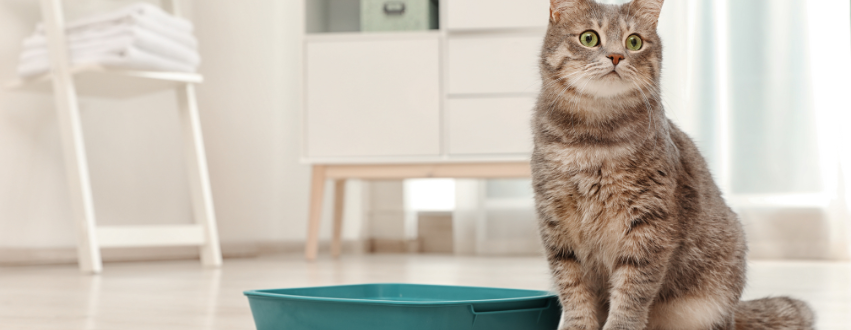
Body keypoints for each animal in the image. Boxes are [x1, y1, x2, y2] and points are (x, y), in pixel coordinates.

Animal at [532, 0, 820, 328]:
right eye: (589, 38)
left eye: (634, 42)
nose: (616, 56)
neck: (592, 142)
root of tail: (734, 312)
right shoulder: (556, 226)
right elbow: (573, 291)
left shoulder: (649, 224)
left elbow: (631, 292)